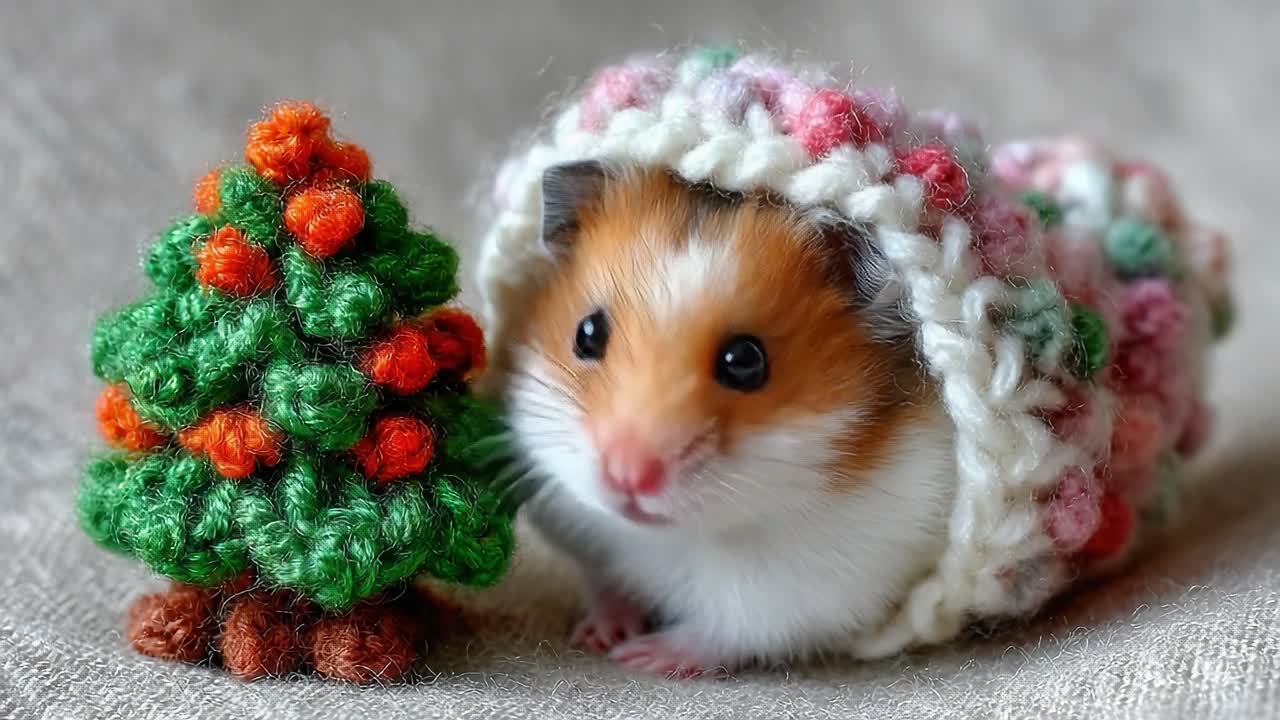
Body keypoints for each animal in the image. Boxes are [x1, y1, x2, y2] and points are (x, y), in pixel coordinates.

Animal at [503, 160, 956, 677]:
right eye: (587, 333)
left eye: (745, 361)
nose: (627, 475)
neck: (684, 536)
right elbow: (605, 584)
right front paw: (601, 634)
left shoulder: (810, 592)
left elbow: (728, 630)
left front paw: (643, 656)